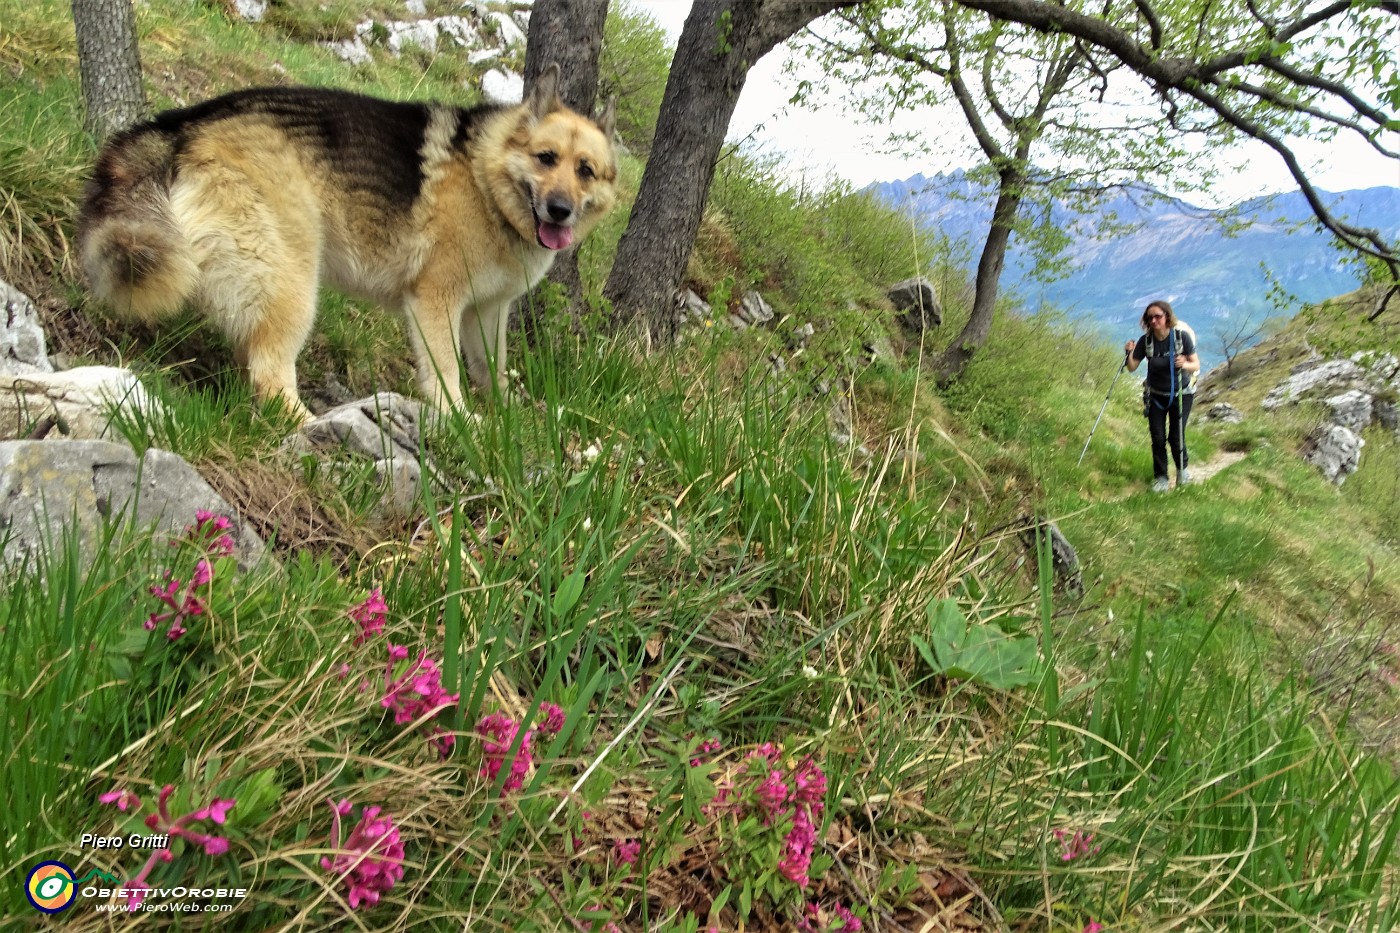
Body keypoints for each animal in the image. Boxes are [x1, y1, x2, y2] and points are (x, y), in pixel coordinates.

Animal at [78, 63, 618, 414]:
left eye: (586, 171)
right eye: (546, 158)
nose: (560, 210)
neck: (487, 181)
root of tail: (188, 120)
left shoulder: (486, 313)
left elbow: (492, 370)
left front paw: (504, 422)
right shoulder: (435, 303)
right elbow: (445, 374)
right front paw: (459, 423)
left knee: (253, 357)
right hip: (293, 283)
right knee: (271, 374)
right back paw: (310, 429)